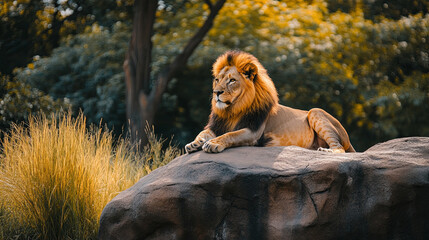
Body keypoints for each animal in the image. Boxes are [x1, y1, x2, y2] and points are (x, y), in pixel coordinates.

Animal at [184, 50, 354, 154]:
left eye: (232, 81)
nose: (216, 93)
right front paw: (194, 143)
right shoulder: (217, 125)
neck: (233, 110)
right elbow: (203, 133)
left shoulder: (253, 131)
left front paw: (213, 143)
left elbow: (230, 135)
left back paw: (326, 151)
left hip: (316, 112)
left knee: (340, 148)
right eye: (217, 80)